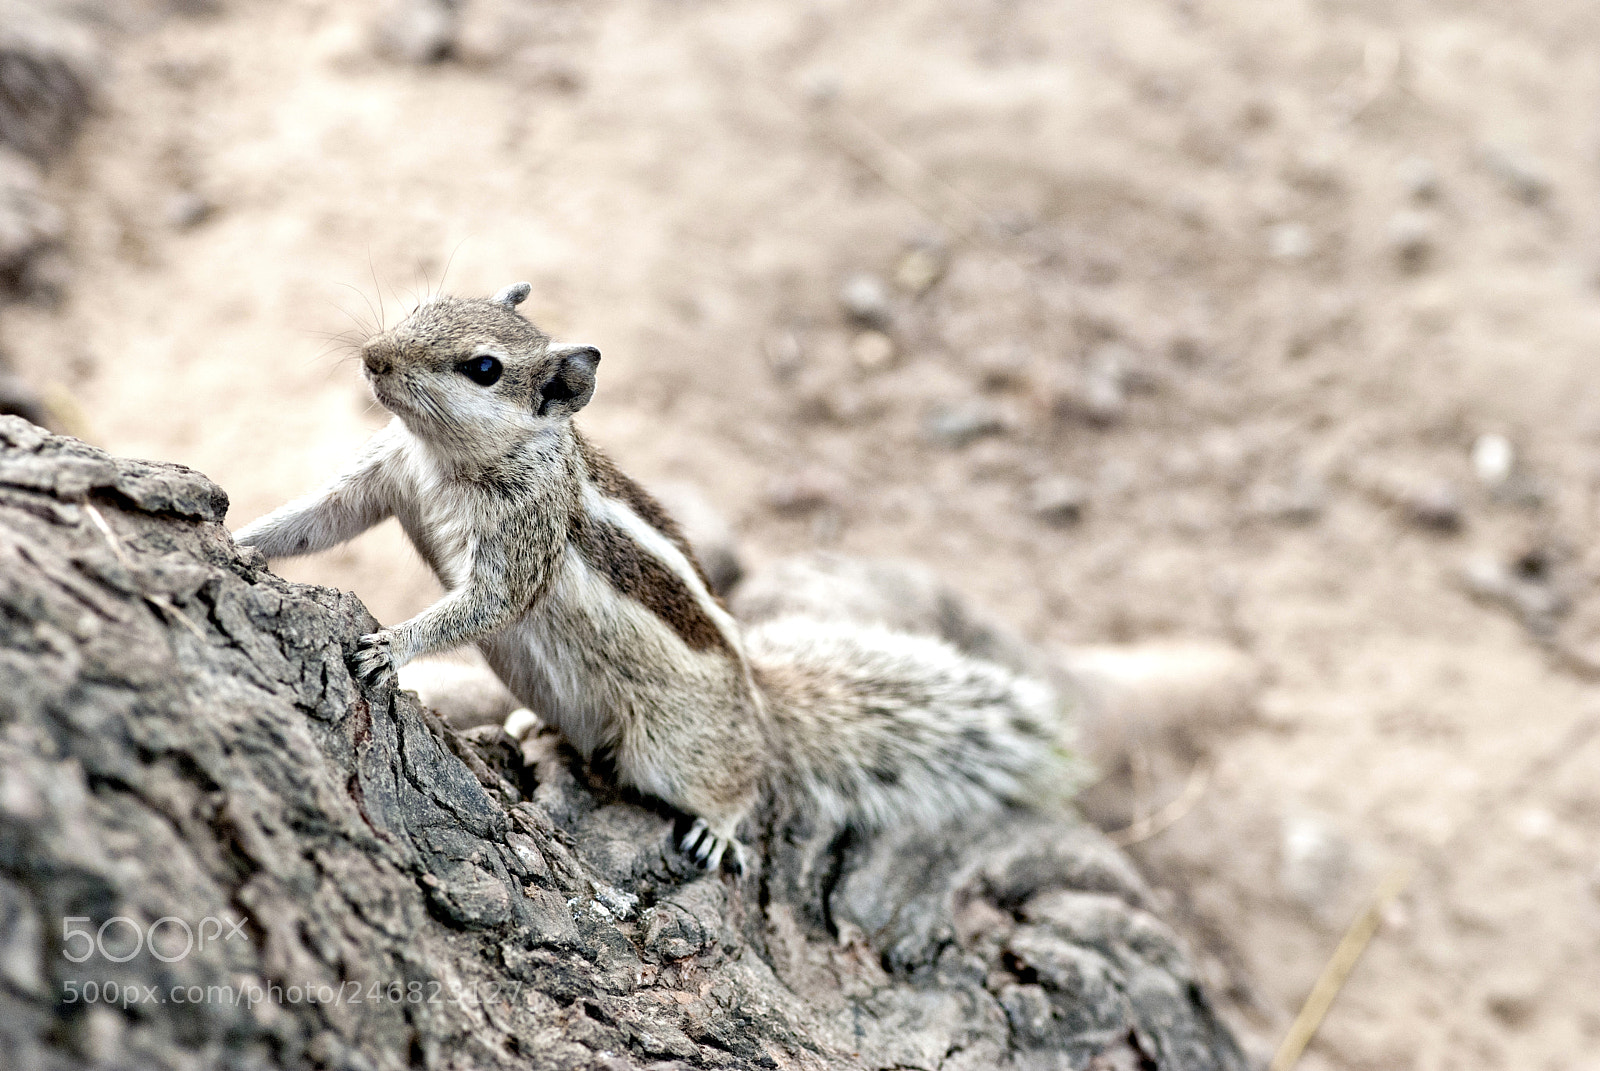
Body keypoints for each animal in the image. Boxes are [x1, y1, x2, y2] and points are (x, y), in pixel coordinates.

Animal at [233, 283, 1070, 873]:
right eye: (421, 305)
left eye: (483, 368)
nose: (373, 356)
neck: (447, 458)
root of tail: (758, 703)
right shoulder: (384, 475)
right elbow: (318, 517)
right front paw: (241, 538)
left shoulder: (524, 541)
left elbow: (485, 605)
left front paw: (393, 645)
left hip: (672, 748)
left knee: (742, 778)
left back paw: (720, 825)